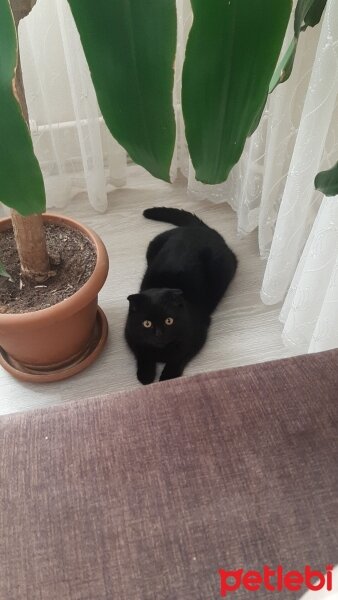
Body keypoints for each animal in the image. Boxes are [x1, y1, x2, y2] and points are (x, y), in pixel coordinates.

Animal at [124, 206, 238, 384]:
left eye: (169, 321)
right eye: (147, 324)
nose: (159, 333)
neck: (161, 351)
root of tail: (198, 229)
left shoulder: (197, 335)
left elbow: (179, 357)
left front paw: (167, 377)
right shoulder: (131, 335)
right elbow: (142, 355)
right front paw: (146, 375)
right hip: (151, 247)